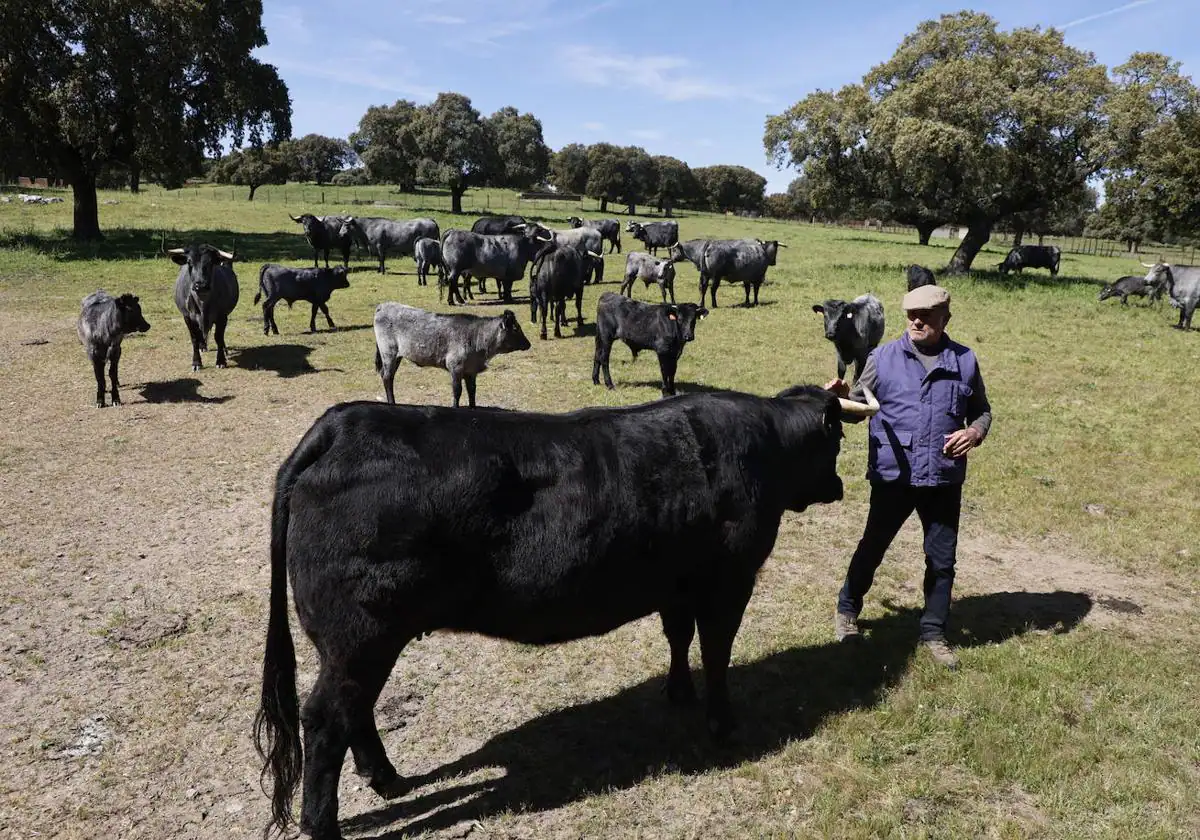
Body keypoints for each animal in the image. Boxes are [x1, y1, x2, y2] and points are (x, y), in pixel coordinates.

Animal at [168, 241, 240, 369]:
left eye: (211, 262)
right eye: (189, 262)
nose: (200, 285)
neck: (203, 304)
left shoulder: (222, 317)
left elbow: (218, 337)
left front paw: (221, 361)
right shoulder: (187, 317)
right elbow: (194, 338)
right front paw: (196, 362)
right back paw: (203, 346)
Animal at [253, 386, 878, 840]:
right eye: (836, 443)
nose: (842, 485)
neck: (760, 445)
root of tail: (343, 422)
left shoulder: (676, 583)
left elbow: (678, 638)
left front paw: (678, 692)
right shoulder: (729, 582)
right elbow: (717, 652)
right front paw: (722, 723)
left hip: (359, 642)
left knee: (354, 711)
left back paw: (387, 779)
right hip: (362, 634)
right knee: (327, 717)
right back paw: (325, 824)